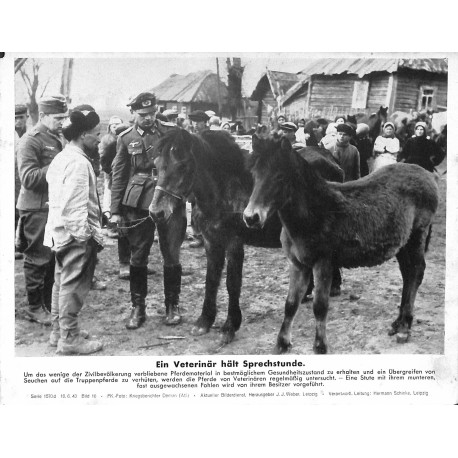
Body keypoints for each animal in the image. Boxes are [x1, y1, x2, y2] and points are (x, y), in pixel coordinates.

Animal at [148, 127, 342, 346]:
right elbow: (211, 280)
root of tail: (329, 156)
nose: (156, 212)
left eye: (182, 165)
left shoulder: (234, 243)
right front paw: (204, 320)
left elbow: (232, 283)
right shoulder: (211, 241)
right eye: (156, 165)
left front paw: (229, 326)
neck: (223, 189)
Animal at [243, 135, 440, 354]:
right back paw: (398, 323)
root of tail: (425, 173)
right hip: (403, 244)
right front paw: (282, 343)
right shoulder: (298, 264)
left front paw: (320, 346)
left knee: (415, 272)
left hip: (417, 236)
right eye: (254, 174)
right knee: (407, 274)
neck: (314, 212)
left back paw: (405, 327)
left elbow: (320, 306)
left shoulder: (323, 264)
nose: (251, 217)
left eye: (279, 176)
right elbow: (291, 303)